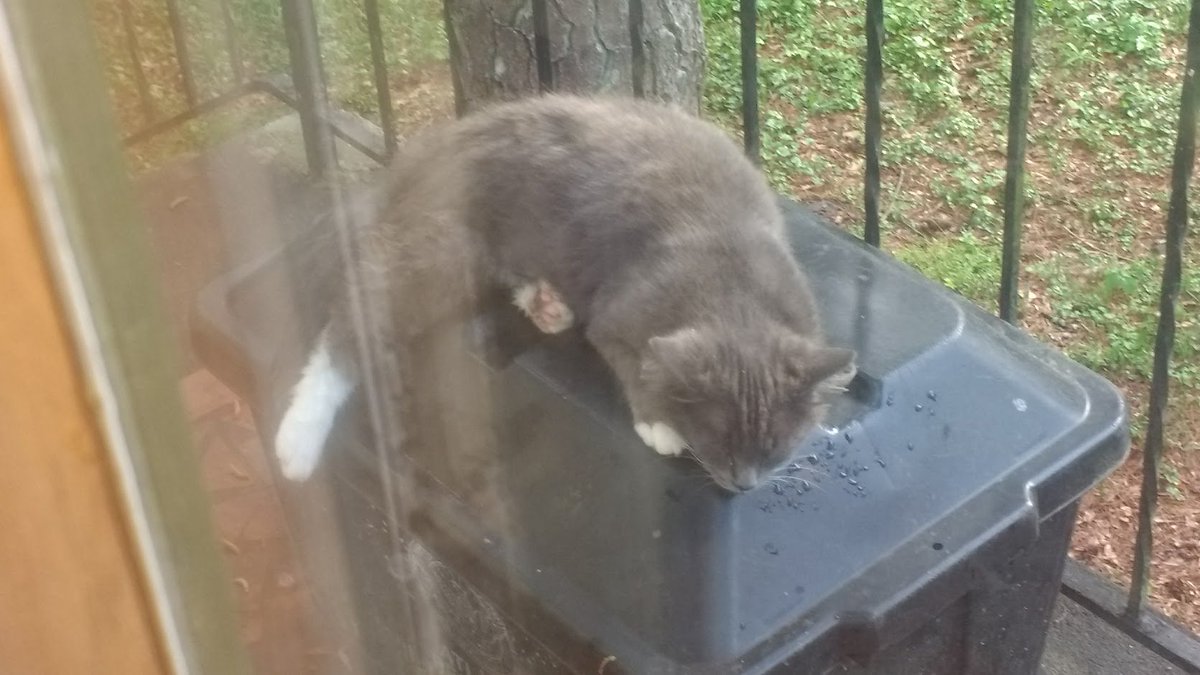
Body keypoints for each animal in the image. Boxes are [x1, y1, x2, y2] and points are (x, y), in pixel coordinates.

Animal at [274, 94, 856, 493]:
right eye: (718, 440)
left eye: (776, 447)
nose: (743, 484)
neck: (734, 291)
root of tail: (425, 151)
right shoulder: (622, 315)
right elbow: (636, 364)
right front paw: (658, 423)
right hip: (439, 248)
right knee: (354, 320)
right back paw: (297, 439)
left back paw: (546, 303)